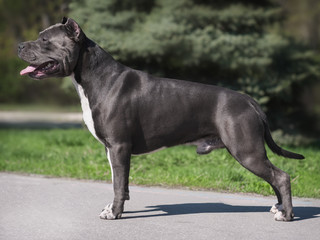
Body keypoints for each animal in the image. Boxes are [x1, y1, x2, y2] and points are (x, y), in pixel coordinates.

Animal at [17, 17, 302, 221]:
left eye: (44, 40)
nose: (19, 45)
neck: (94, 76)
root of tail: (250, 101)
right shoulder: (112, 149)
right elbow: (119, 183)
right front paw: (115, 207)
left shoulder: (119, 147)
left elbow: (118, 184)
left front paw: (114, 213)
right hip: (250, 151)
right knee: (274, 176)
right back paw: (278, 208)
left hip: (247, 150)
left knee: (281, 176)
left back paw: (286, 215)